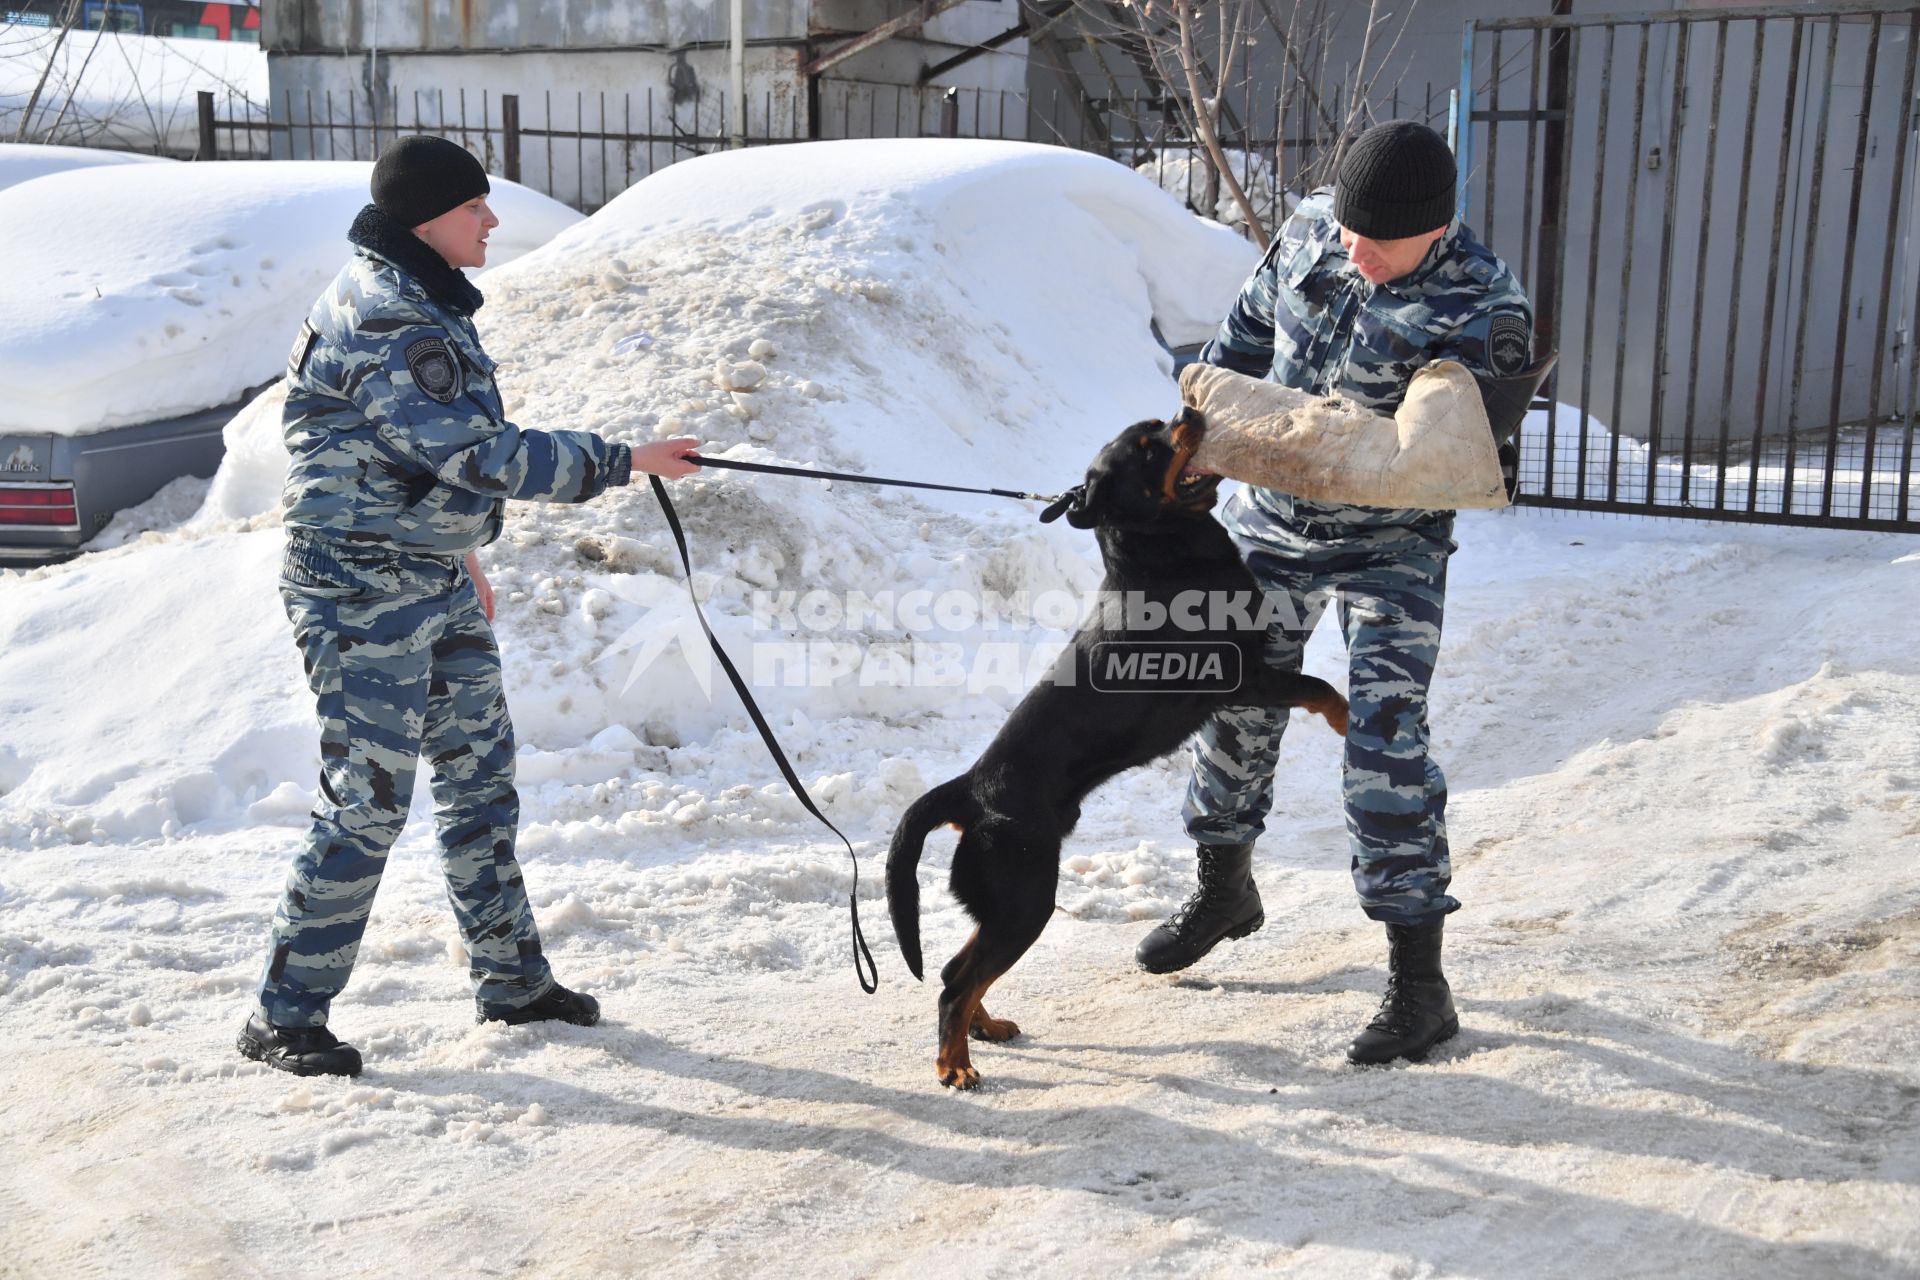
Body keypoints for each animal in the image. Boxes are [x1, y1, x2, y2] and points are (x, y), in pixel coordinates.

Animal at [883, 404, 1351, 1090]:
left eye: (1157, 423)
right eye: (1148, 450)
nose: (1188, 410)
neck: (1165, 555)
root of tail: (969, 788)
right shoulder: (1242, 674)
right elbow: (1318, 685)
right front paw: (1345, 717)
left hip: (1004, 902)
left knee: (956, 972)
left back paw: (985, 1029)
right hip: (1024, 895)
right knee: (955, 983)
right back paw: (956, 1065)